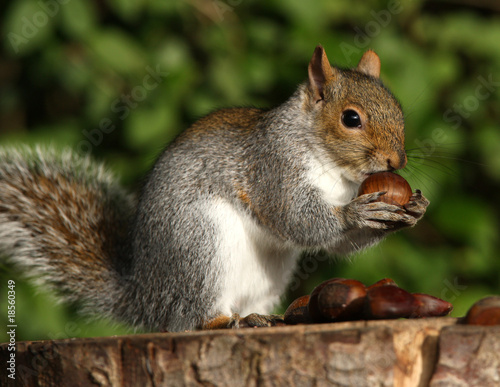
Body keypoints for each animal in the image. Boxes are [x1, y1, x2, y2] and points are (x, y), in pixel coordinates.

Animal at [0, 44, 430, 330]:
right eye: (350, 118)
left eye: (398, 110)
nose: (397, 162)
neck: (336, 171)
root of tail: (146, 299)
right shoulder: (272, 168)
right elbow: (297, 219)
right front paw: (359, 212)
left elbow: (339, 243)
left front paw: (412, 210)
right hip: (200, 245)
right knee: (193, 319)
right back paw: (226, 321)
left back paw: (264, 317)